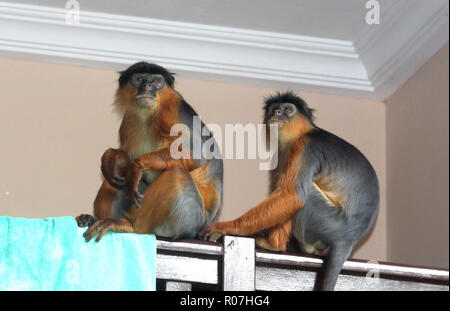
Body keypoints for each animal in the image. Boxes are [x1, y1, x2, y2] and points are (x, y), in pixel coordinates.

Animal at [78, 62, 224, 243]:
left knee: (176, 174)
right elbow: (124, 159)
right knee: (114, 177)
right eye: (139, 79)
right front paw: (111, 156)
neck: (148, 115)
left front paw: (136, 166)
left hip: (190, 220)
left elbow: (196, 156)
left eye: (155, 81)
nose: (147, 86)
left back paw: (129, 226)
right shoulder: (129, 119)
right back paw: (94, 217)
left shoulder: (171, 111)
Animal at [202, 91, 378, 292]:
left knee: (302, 196)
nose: (277, 112)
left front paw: (228, 227)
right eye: (274, 109)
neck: (303, 132)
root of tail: (350, 238)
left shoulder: (304, 147)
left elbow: (292, 196)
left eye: (287, 109)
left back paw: (274, 245)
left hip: (328, 222)